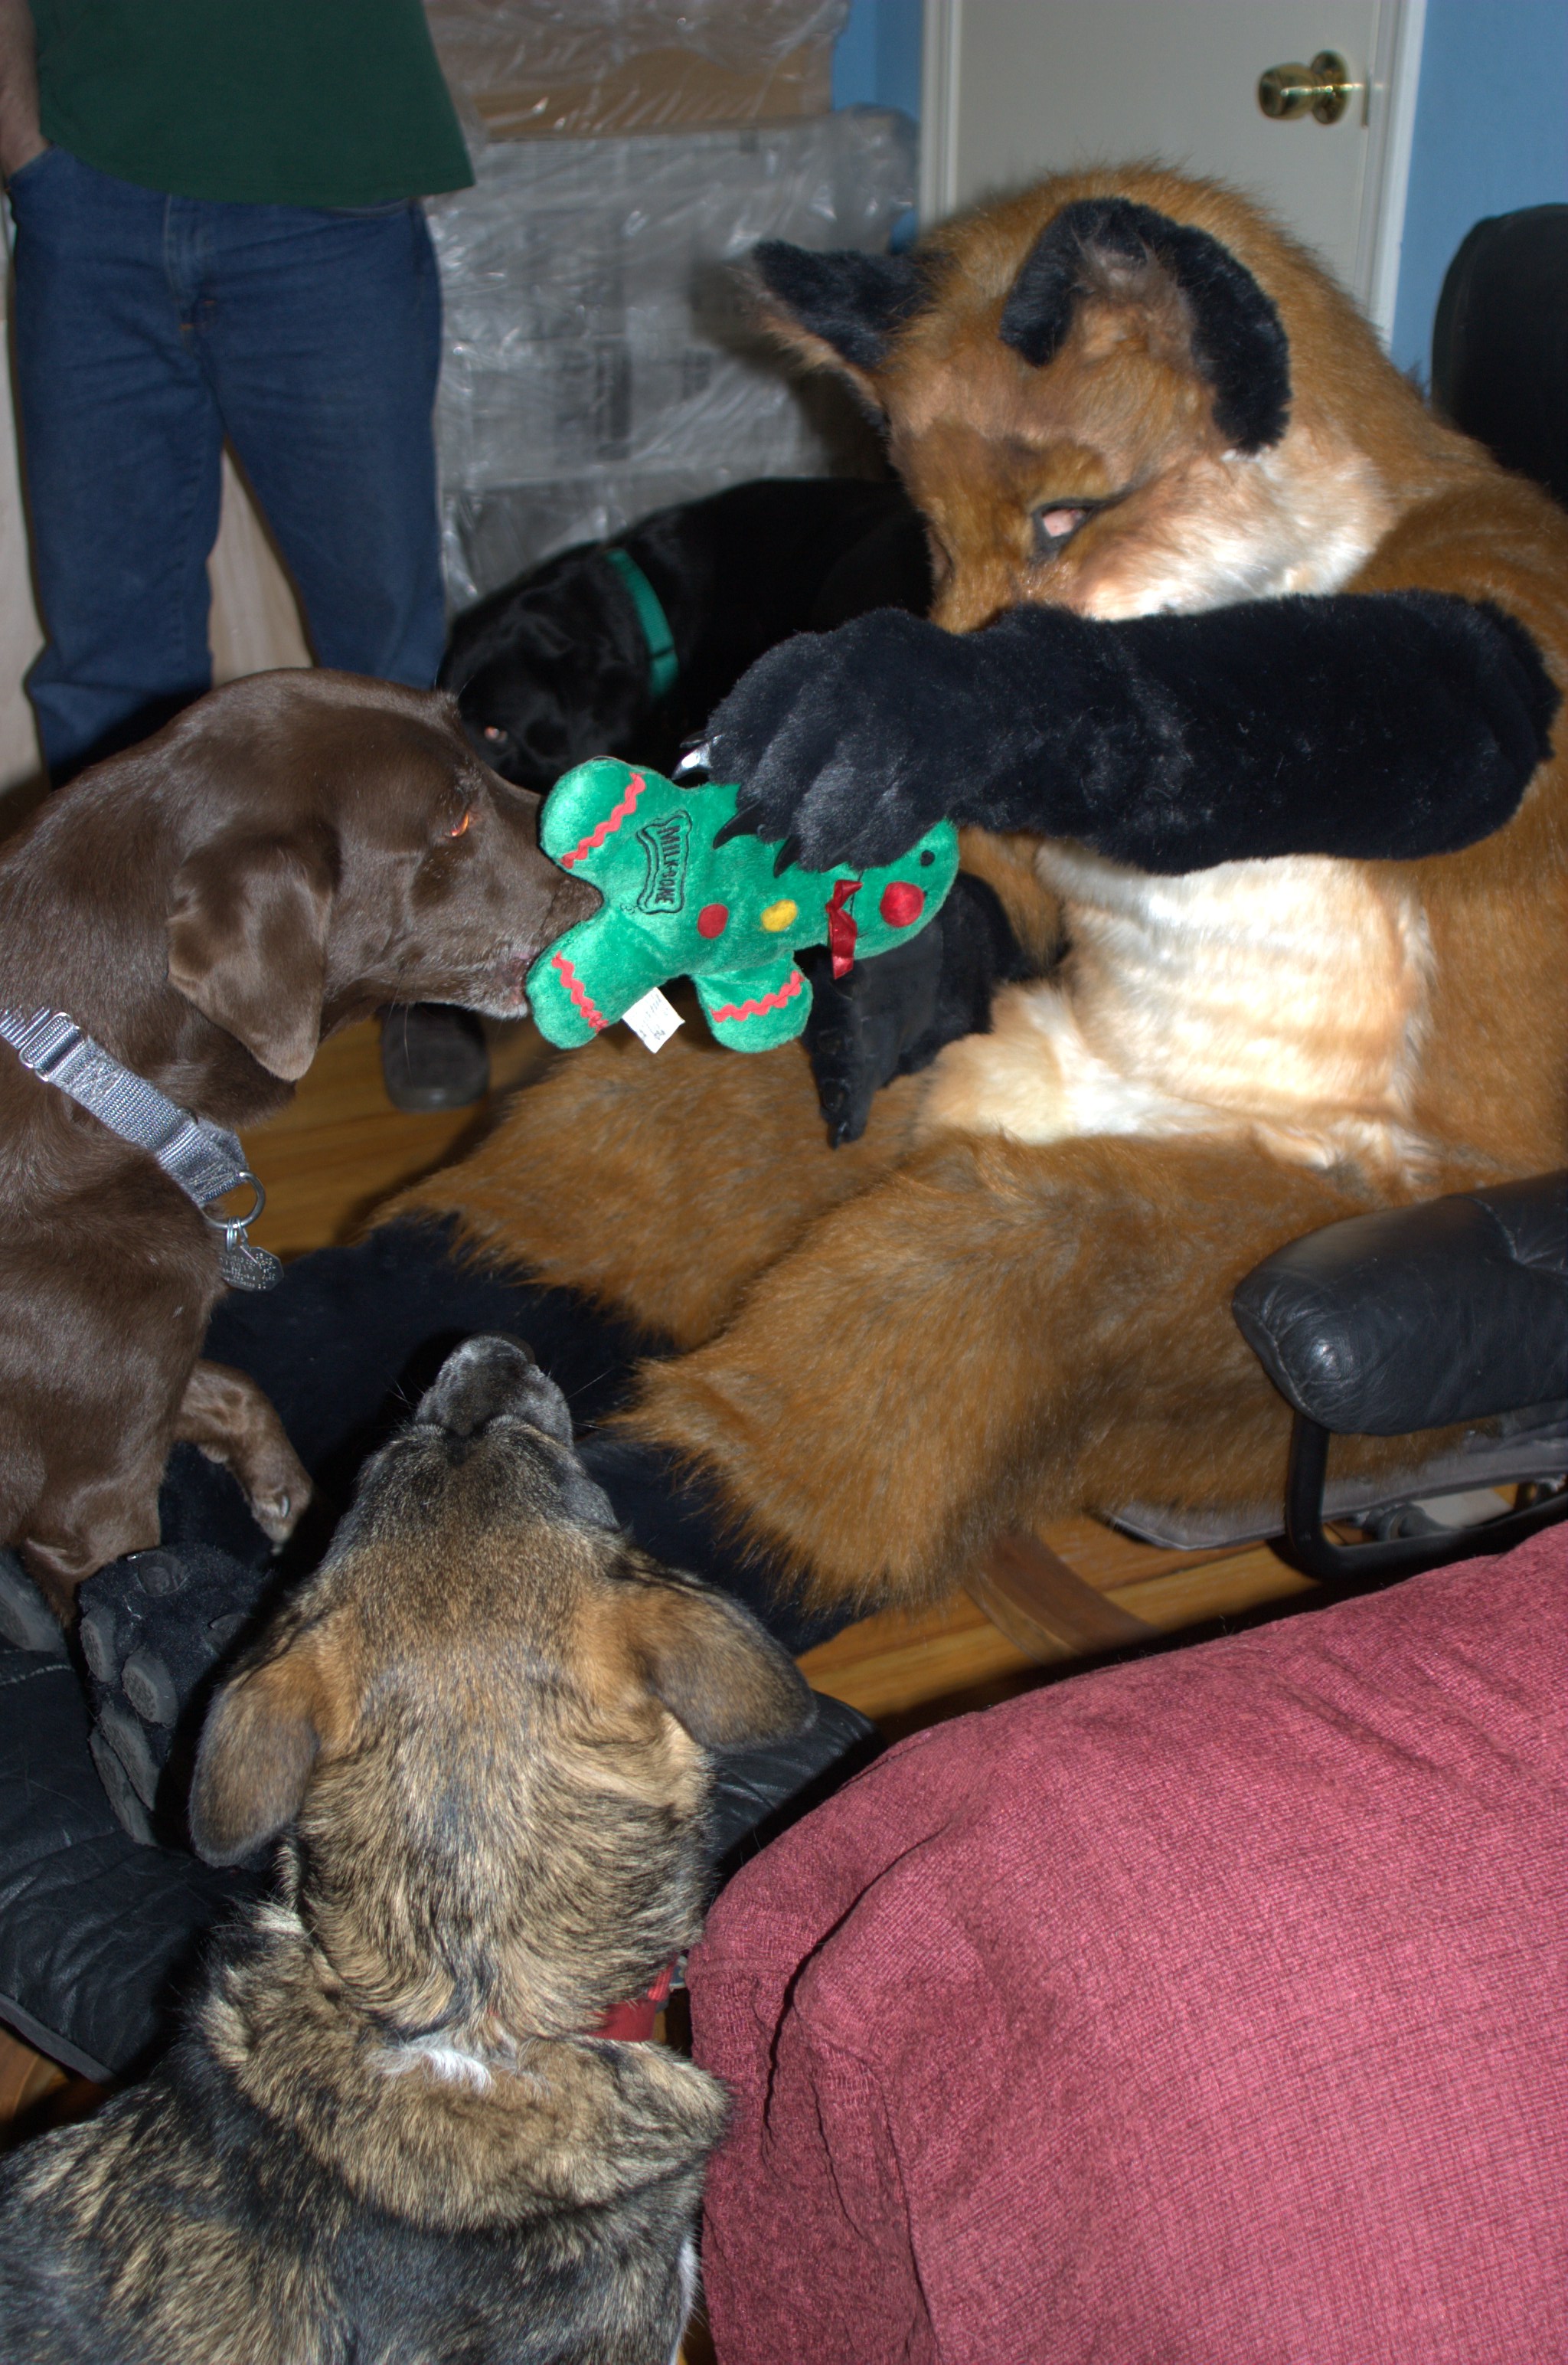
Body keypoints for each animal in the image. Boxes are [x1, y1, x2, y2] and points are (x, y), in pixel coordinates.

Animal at [0, 672, 598, 1613]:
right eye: (455, 821)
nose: (644, 839)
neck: (95, 1080)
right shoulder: (88, 1503)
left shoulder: (156, 1369)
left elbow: (233, 1385)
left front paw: (290, 1500)